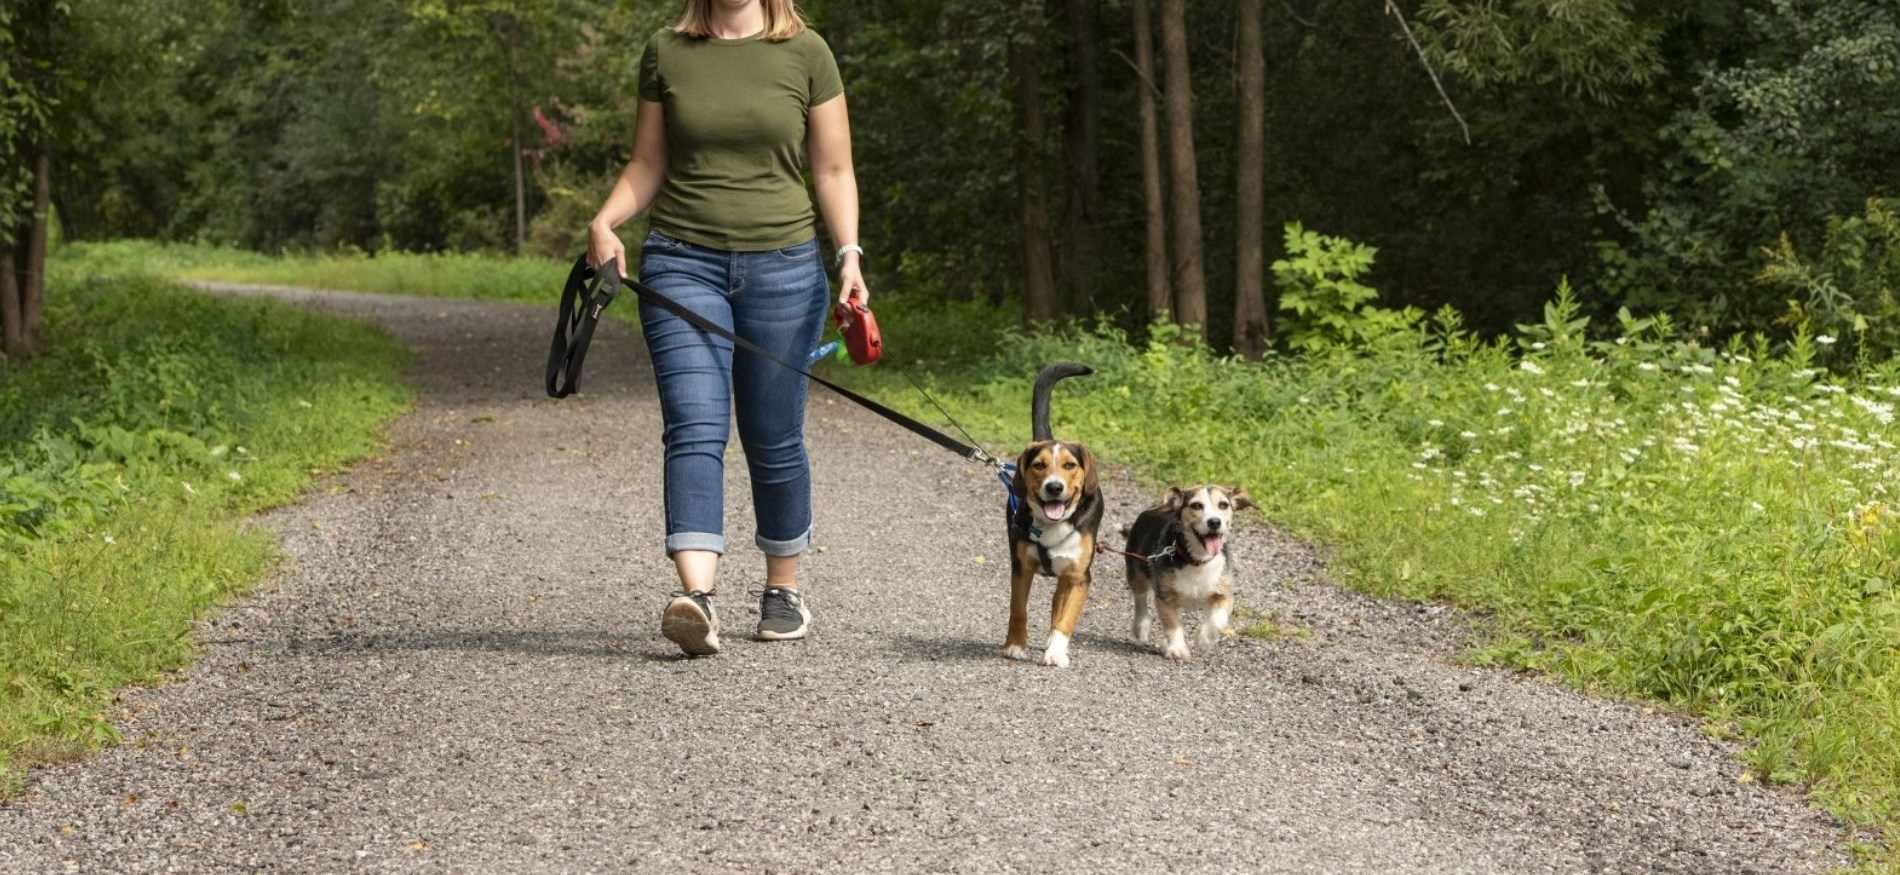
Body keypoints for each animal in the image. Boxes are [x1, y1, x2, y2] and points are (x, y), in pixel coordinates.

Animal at [1003, 360, 1109, 668]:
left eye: (1069, 465)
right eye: (1039, 465)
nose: (1054, 487)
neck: (1054, 524)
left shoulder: (1078, 577)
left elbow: (1065, 619)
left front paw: (1056, 652)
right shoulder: (1021, 568)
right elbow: (1018, 609)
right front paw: (1015, 645)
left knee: (1057, 608)